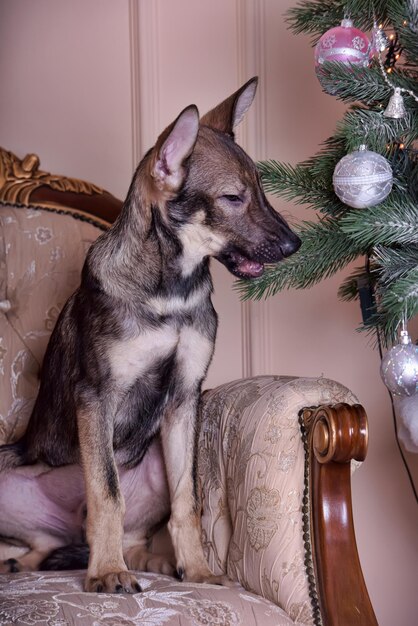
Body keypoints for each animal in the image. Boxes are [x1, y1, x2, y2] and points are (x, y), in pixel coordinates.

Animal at [0, 75, 300, 592]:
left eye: (261, 191)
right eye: (232, 198)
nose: (294, 245)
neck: (169, 291)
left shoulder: (183, 398)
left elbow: (187, 503)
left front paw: (197, 569)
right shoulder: (96, 395)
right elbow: (106, 493)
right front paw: (106, 572)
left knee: (91, 542)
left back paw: (153, 562)